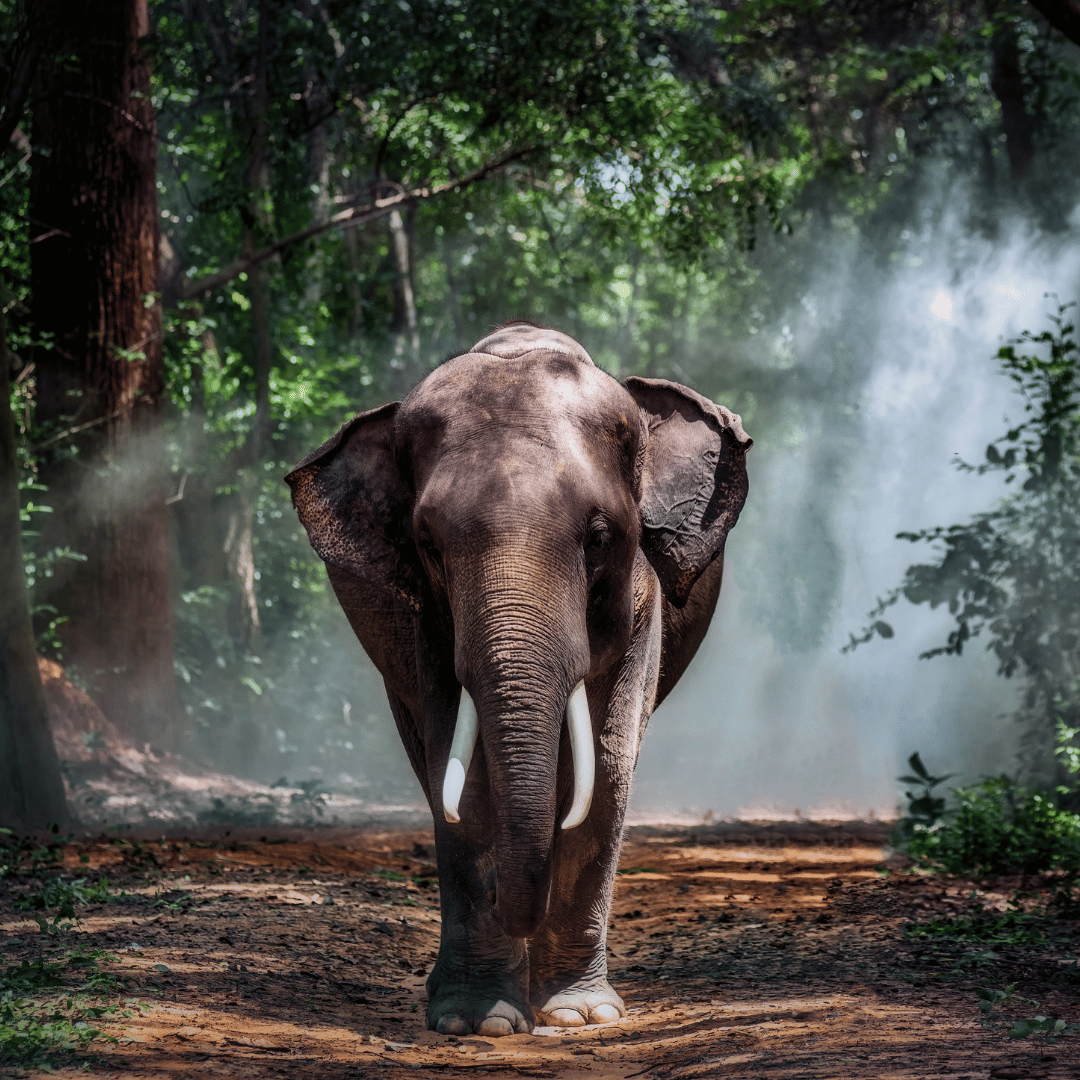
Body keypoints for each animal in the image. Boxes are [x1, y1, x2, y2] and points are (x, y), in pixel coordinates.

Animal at [286, 322, 751, 1037]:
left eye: (599, 536)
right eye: (428, 543)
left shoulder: (641, 602)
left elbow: (607, 768)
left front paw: (580, 1015)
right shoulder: (427, 622)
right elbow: (465, 778)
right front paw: (478, 1021)